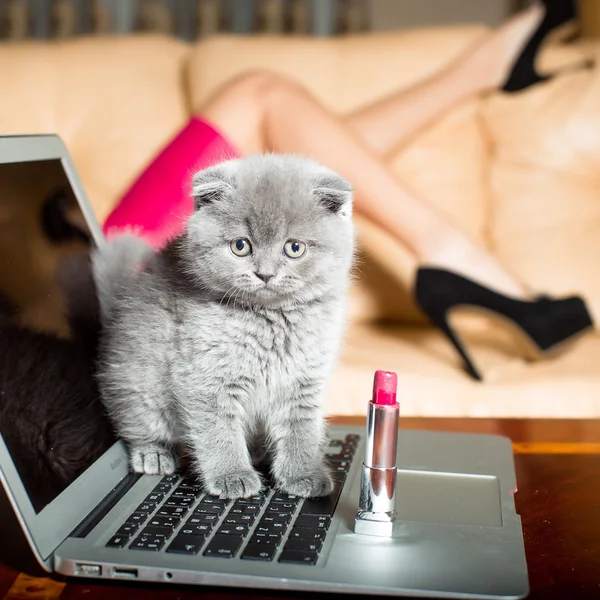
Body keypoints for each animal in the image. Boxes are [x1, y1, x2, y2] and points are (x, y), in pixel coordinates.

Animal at [93, 154, 354, 496]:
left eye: (294, 248)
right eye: (241, 246)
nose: (265, 274)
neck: (271, 318)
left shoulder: (305, 379)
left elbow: (302, 429)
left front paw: (304, 475)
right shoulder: (205, 376)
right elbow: (218, 429)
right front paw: (232, 475)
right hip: (139, 382)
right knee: (135, 420)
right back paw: (154, 454)